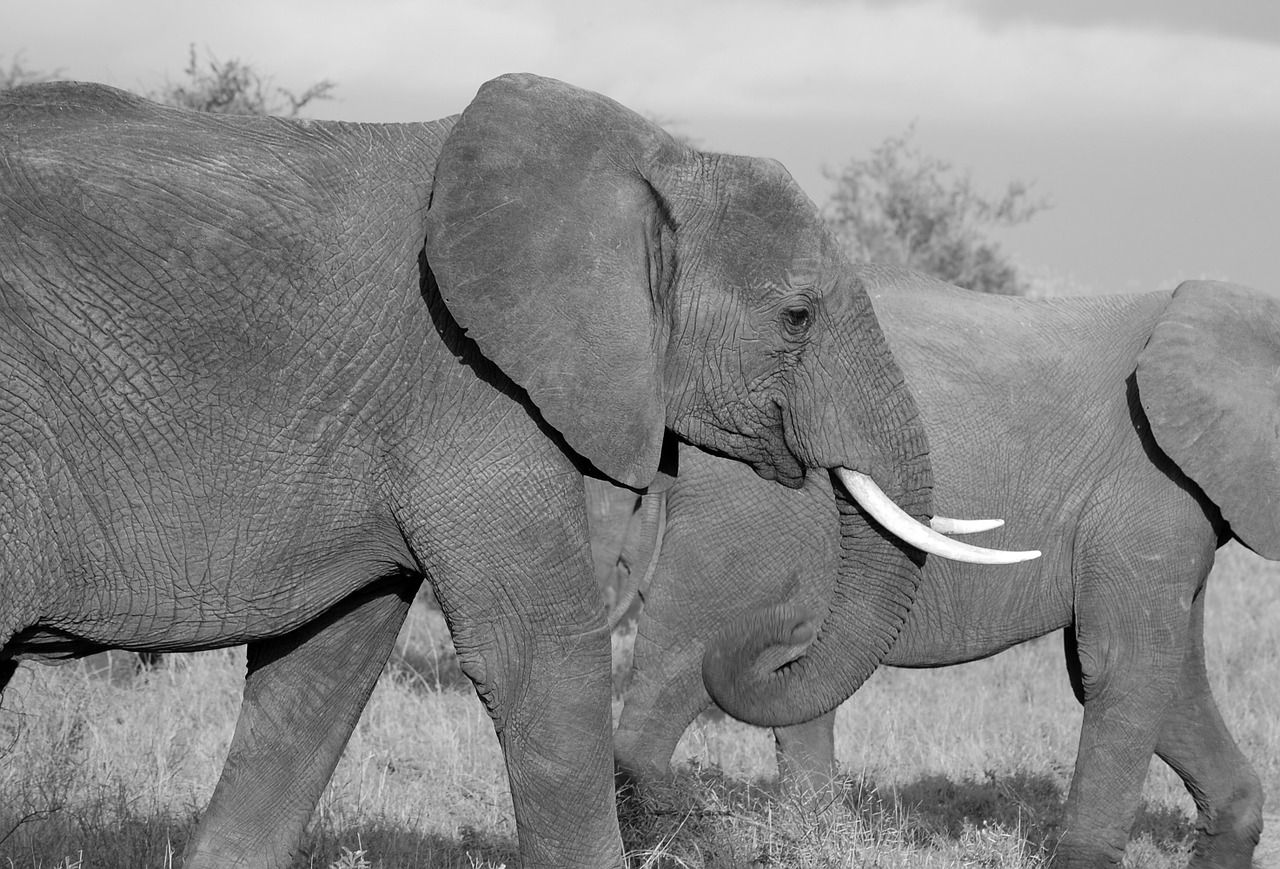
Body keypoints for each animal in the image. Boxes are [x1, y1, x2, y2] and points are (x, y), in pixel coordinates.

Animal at [0, 76, 1029, 869]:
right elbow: (541, 657)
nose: (769, 637)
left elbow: (322, 668)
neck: (655, 163)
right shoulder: (464, 382)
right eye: (798, 316)